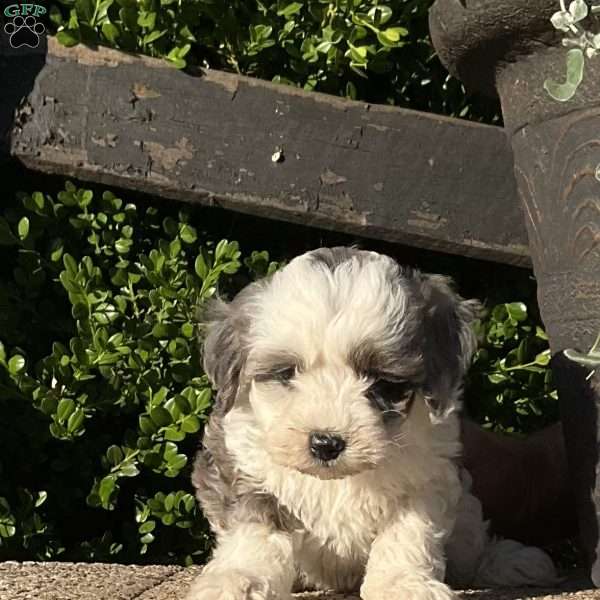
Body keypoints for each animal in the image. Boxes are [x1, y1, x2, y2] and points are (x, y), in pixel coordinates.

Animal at [186, 246, 556, 596]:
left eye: (381, 379)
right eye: (286, 372)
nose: (326, 443)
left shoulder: (427, 477)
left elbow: (407, 535)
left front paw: (403, 585)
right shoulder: (242, 469)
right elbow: (255, 535)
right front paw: (238, 582)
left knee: (469, 550)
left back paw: (512, 561)